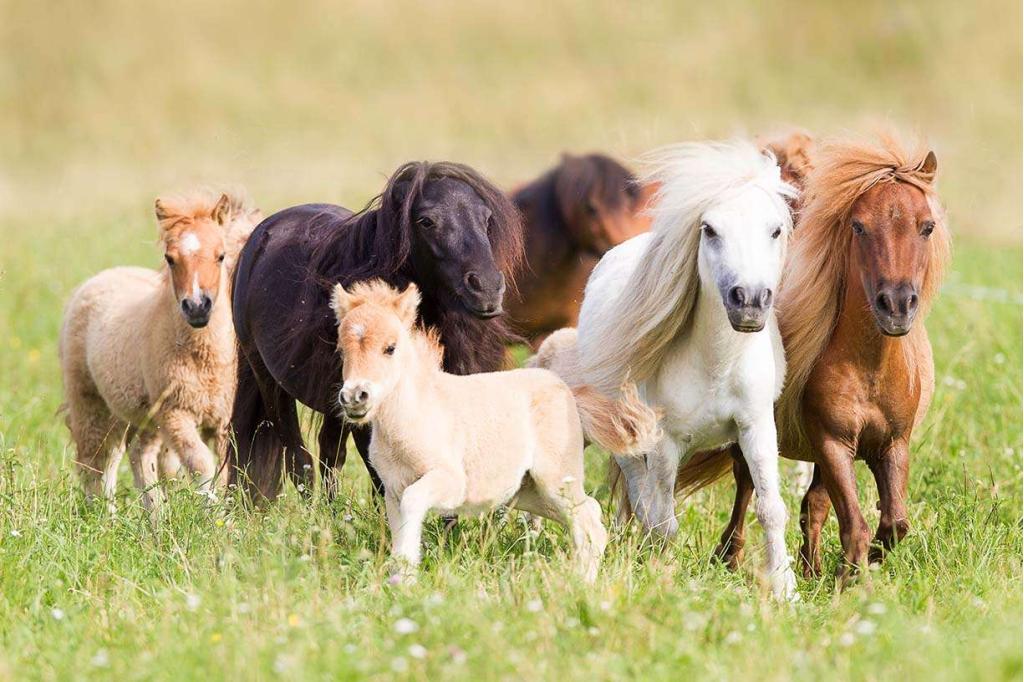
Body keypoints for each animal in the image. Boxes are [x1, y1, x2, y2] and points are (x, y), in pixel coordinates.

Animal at [59, 190, 261, 511]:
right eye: (170, 258)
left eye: (220, 255)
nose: (197, 307)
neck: (205, 360)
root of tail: (98, 279)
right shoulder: (175, 414)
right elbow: (201, 465)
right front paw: (214, 515)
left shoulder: (222, 421)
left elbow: (225, 470)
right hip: (91, 403)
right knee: (97, 462)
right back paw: (103, 516)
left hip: (135, 416)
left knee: (133, 455)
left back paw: (153, 515)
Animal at [228, 162, 524, 500]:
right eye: (426, 221)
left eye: (486, 219)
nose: (487, 289)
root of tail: (262, 237)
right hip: (271, 382)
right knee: (298, 460)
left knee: (330, 454)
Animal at [328, 281, 659, 583]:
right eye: (342, 351)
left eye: (390, 348)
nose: (355, 397)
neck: (412, 417)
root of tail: (571, 394)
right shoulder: (393, 490)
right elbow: (401, 530)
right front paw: (401, 583)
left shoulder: (450, 482)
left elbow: (414, 503)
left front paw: (406, 580)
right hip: (528, 492)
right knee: (587, 516)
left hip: (555, 479)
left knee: (587, 518)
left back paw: (582, 583)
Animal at [535, 140, 800, 600]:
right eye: (709, 229)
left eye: (775, 230)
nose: (749, 301)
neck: (715, 365)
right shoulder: (664, 442)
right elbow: (663, 519)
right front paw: (665, 575)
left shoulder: (756, 427)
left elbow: (771, 508)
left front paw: (786, 589)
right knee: (643, 499)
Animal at [688, 134, 950, 582]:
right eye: (859, 226)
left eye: (927, 226)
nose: (896, 306)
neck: (871, 368)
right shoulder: (833, 444)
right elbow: (856, 524)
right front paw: (851, 578)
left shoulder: (892, 446)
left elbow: (894, 523)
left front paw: (859, 565)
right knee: (747, 485)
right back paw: (730, 556)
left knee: (813, 505)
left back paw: (811, 569)